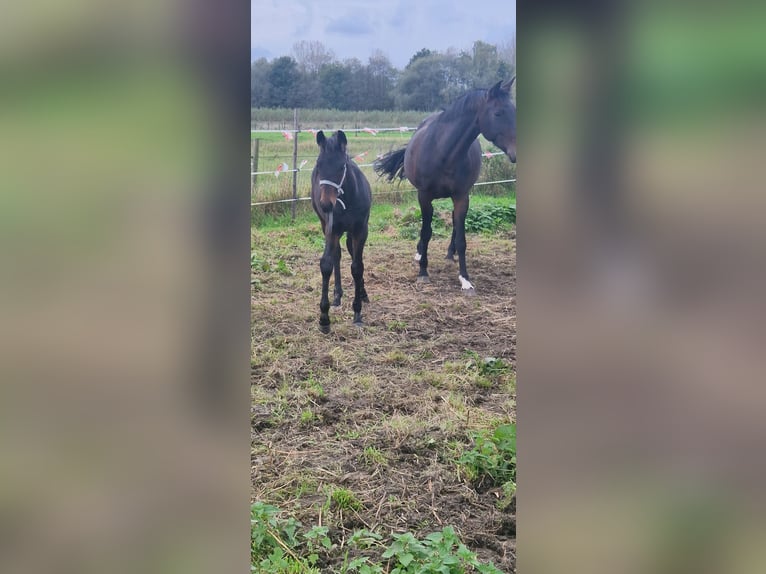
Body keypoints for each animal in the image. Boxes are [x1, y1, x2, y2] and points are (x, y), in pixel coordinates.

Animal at [310, 130, 374, 332]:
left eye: (341, 166)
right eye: (319, 165)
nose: (325, 204)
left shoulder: (361, 230)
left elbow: (357, 266)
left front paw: (357, 312)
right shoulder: (331, 229)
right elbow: (327, 264)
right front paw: (324, 317)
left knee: (353, 255)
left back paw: (362, 293)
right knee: (338, 255)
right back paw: (337, 295)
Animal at [376, 79, 520, 294]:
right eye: (498, 113)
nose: (517, 152)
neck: (443, 152)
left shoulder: (461, 196)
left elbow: (461, 238)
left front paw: (465, 279)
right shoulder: (424, 196)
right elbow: (426, 232)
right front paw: (423, 272)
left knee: (453, 223)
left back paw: (450, 254)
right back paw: (420, 253)